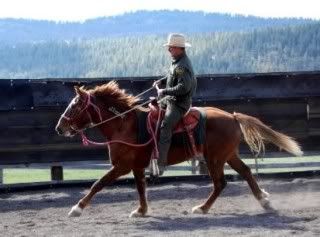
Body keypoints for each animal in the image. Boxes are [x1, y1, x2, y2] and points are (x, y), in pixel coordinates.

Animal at [55, 81, 302, 217]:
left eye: (75, 106)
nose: (59, 127)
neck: (123, 125)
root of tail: (232, 116)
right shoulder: (136, 166)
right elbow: (140, 188)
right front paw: (141, 211)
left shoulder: (122, 166)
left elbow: (98, 183)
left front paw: (77, 208)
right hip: (228, 155)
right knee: (247, 172)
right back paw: (264, 200)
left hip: (214, 159)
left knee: (220, 183)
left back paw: (202, 208)